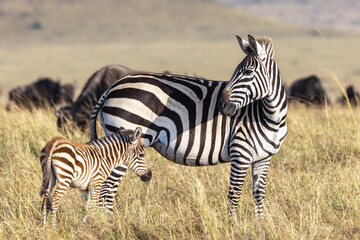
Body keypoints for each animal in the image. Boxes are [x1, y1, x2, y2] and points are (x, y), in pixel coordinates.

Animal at [91, 34, 288, 218]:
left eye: (247, 72)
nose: (221, 104)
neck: (269, 116)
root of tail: (112, 87)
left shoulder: (263, 158)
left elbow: (259, 195)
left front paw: (259, 224)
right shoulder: (240, 153)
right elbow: (234, 195)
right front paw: (234, 225)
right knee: (107, 188)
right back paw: (109, 223)